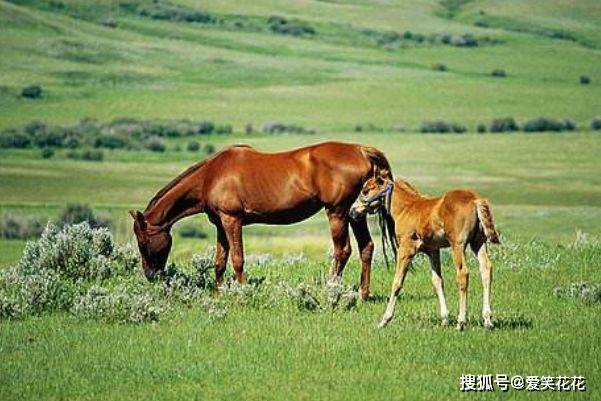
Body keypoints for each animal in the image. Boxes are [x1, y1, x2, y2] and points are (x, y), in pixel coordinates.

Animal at [131, 141, 392, 296]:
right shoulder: (220, 225)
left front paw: (242, 293)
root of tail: (361, 150)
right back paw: (362, 294)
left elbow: (237, 259)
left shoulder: (232, 220)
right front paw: (218, 294)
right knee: (366, 247)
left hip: (337, 212)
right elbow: (219, 262)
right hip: (355, 213)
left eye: (143, 242)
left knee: (343, 250)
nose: (150, 275)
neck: (211, 175)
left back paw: (331, 291)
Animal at [350, 170, 500, 328]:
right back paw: (487, 319)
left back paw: (461, 321)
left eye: (366, 190)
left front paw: (384, 320)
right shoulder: (433, 251)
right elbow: (437, 281)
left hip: (458, 245)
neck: (406, 208)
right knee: (486, 268)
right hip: (478, 242)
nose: (352, 211)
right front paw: (445, 319)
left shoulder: (406, 248)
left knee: (463, 273)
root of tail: (476, 200)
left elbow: (397, 282)